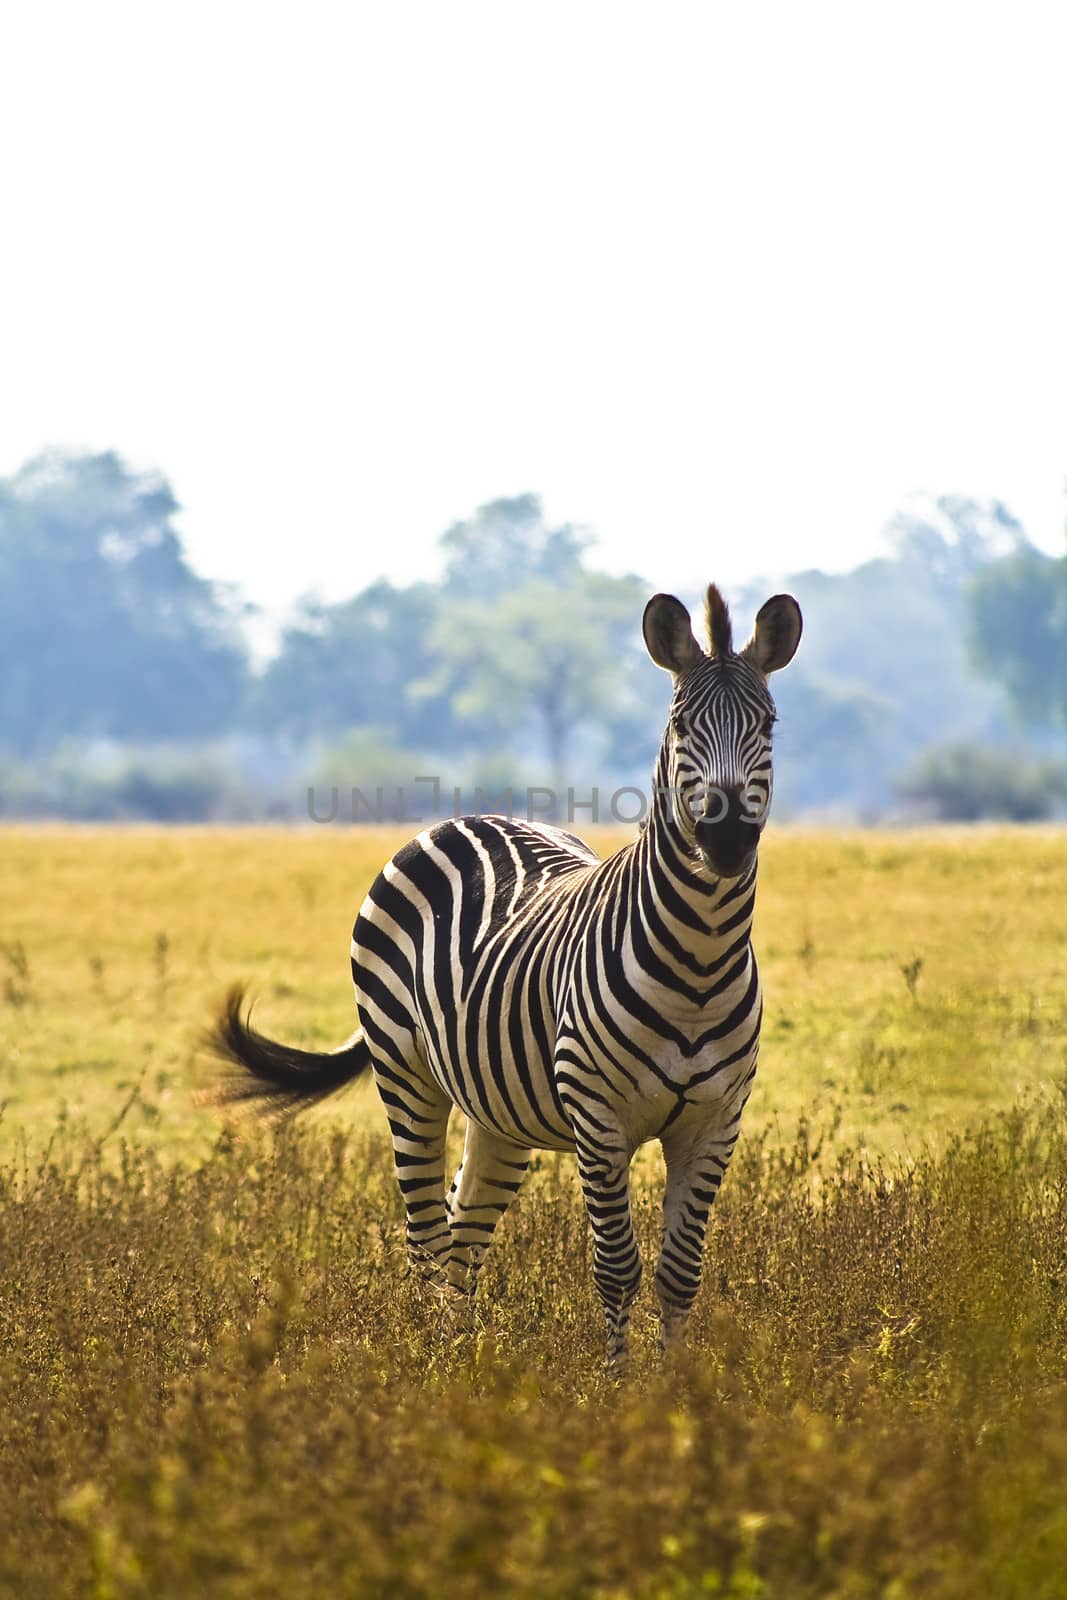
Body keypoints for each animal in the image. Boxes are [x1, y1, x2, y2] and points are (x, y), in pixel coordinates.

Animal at [212, 585, 799, 1363]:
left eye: (767, 724)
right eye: (679, 726)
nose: (727, 839)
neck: (699, 960)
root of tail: (470, 817)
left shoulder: (715, 1121)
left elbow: (680, 1271)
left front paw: (676, 1386)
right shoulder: (597, 1118)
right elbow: (616, 1266)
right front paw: (618, 1386)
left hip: (499, 1110)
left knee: (463, 1238)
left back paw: (467, 1362)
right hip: (407, 1076)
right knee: (425, 1238)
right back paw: (430, 1363)